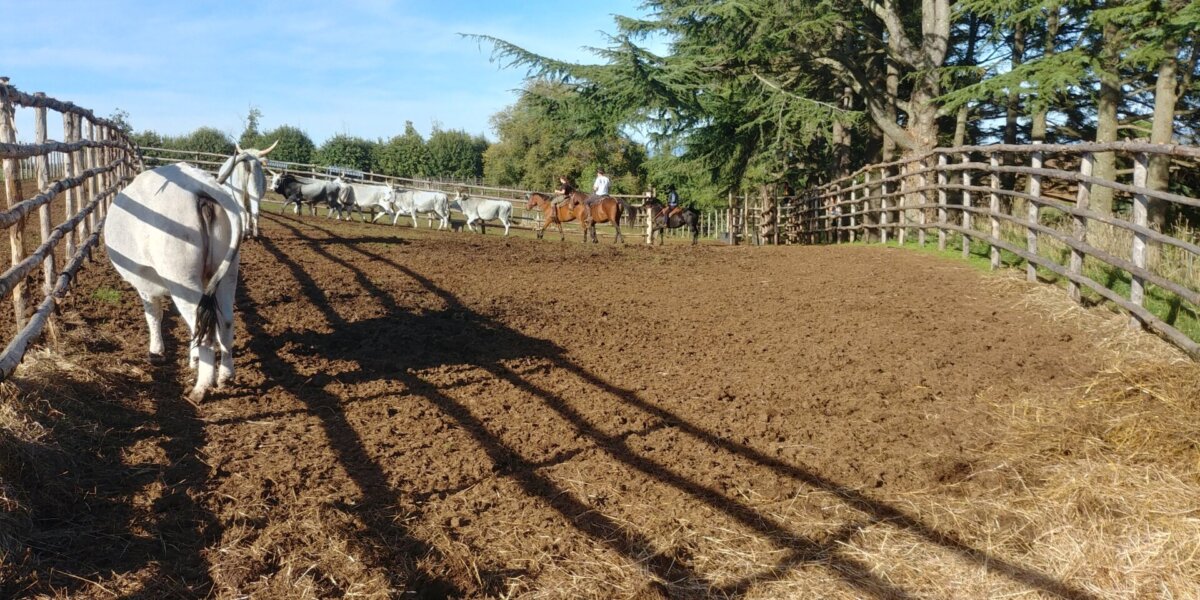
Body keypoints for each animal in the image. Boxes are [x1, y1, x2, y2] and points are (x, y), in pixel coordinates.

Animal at [106, 159, 247, 403]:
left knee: (205, 332)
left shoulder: (144, 282)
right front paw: (193, 359)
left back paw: (200, 389)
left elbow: (153, 315)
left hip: (181, 276)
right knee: (224, 322)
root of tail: (202, 190)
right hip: (228, 272)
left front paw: (156, 352)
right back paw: (225, 376)